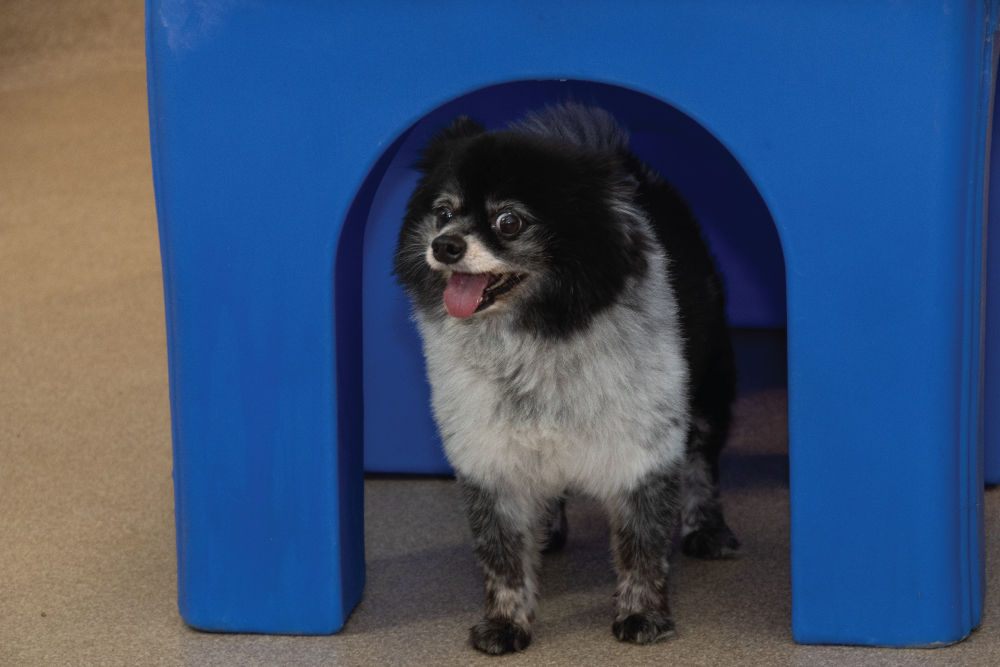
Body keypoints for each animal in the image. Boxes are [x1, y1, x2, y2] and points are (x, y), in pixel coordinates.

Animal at [394, 105, 740, 656]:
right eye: (443, 213)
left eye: (509, 222)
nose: (444, 245)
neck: (534, 340)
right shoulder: (490, 455)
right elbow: (502, 556)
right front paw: (505, 622)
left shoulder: (642, 449)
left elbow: (642, 543)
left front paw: (643, 613)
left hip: (708, 387)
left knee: (702, 462)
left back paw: (707, 528)